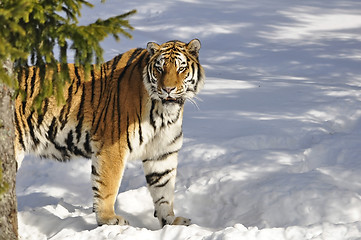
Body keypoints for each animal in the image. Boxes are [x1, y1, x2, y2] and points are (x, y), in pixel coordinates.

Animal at [14, 39, 204, 227]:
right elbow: (108, 185)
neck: (165, 113)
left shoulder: (162, 153)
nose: (168, 89)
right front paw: (109, 219)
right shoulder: (113, 147)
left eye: (181, 68)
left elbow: (164, 191)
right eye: (160, 68)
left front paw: (171, 221)